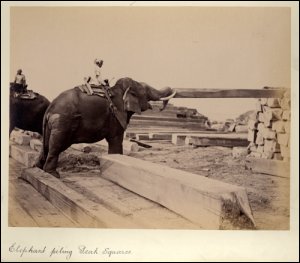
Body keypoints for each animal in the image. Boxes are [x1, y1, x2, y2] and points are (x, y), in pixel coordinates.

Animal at [35, 77, 176, 178]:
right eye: (146, 91)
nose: (160, 108)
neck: (119, 89)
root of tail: (50, 107)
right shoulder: (117, 115)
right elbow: (116, 140)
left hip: (52, 124)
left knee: (47, 144)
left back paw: (38, 167)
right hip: (63, 122)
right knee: (56, 145)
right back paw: (52, 174)